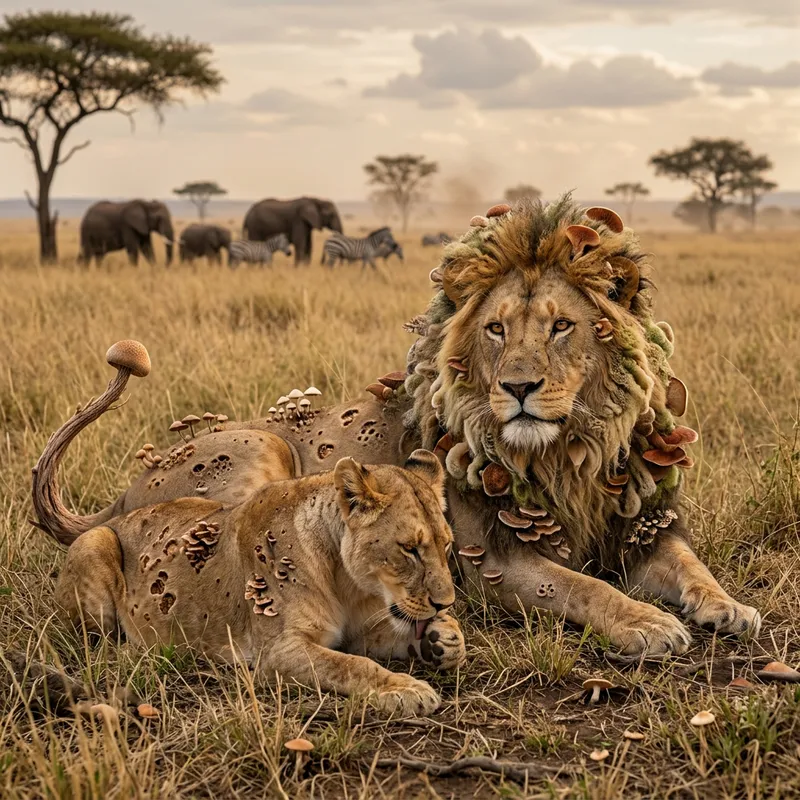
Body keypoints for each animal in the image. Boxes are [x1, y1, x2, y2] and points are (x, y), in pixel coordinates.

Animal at [33, 195, 760, 657]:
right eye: (496, 330)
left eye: (561, 326)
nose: (517, 388)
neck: (567, 454)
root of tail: (120, 499)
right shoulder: (495, 564)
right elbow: (581, 585)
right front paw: (648, 623)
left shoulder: (637, 526)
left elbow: (690, 564)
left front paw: (728, 608)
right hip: (260, 449)